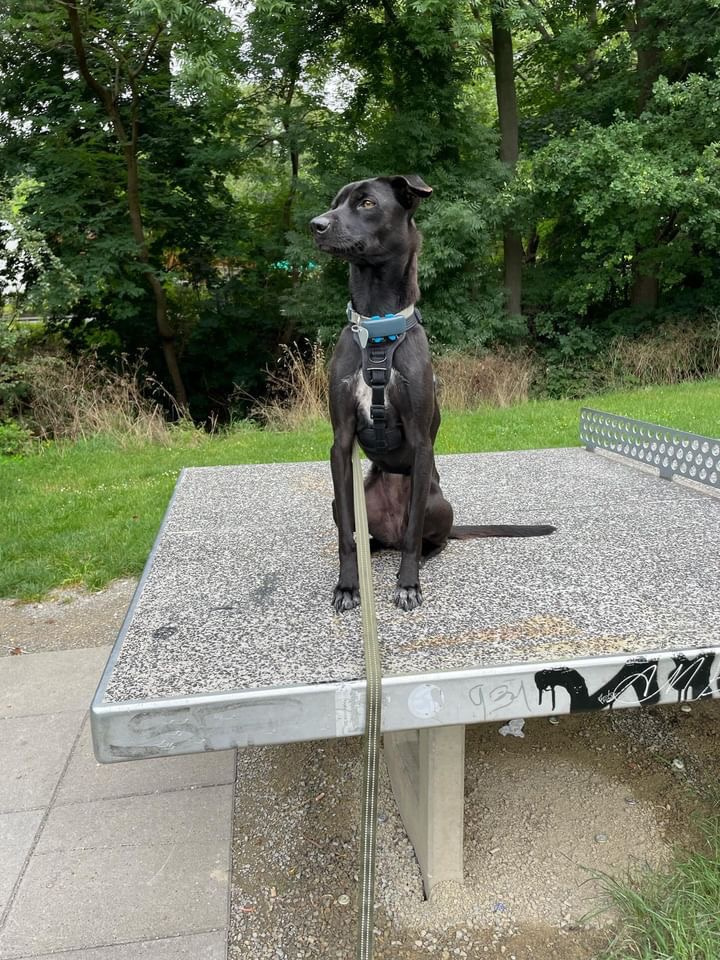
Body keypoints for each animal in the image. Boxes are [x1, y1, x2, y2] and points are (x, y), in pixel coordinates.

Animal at [311, 174, 555, 613]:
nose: (315, 225)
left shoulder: (421, 441)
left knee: (425, 538)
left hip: (433, 501)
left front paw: (408, 584)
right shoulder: (340, 442)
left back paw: (421, 558)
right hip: (347, 502)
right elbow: (345, 540)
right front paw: (348, 586)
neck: (377, 328)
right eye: (335, 202)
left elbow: (412, 539)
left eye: (367, 203)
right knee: (366, 536)